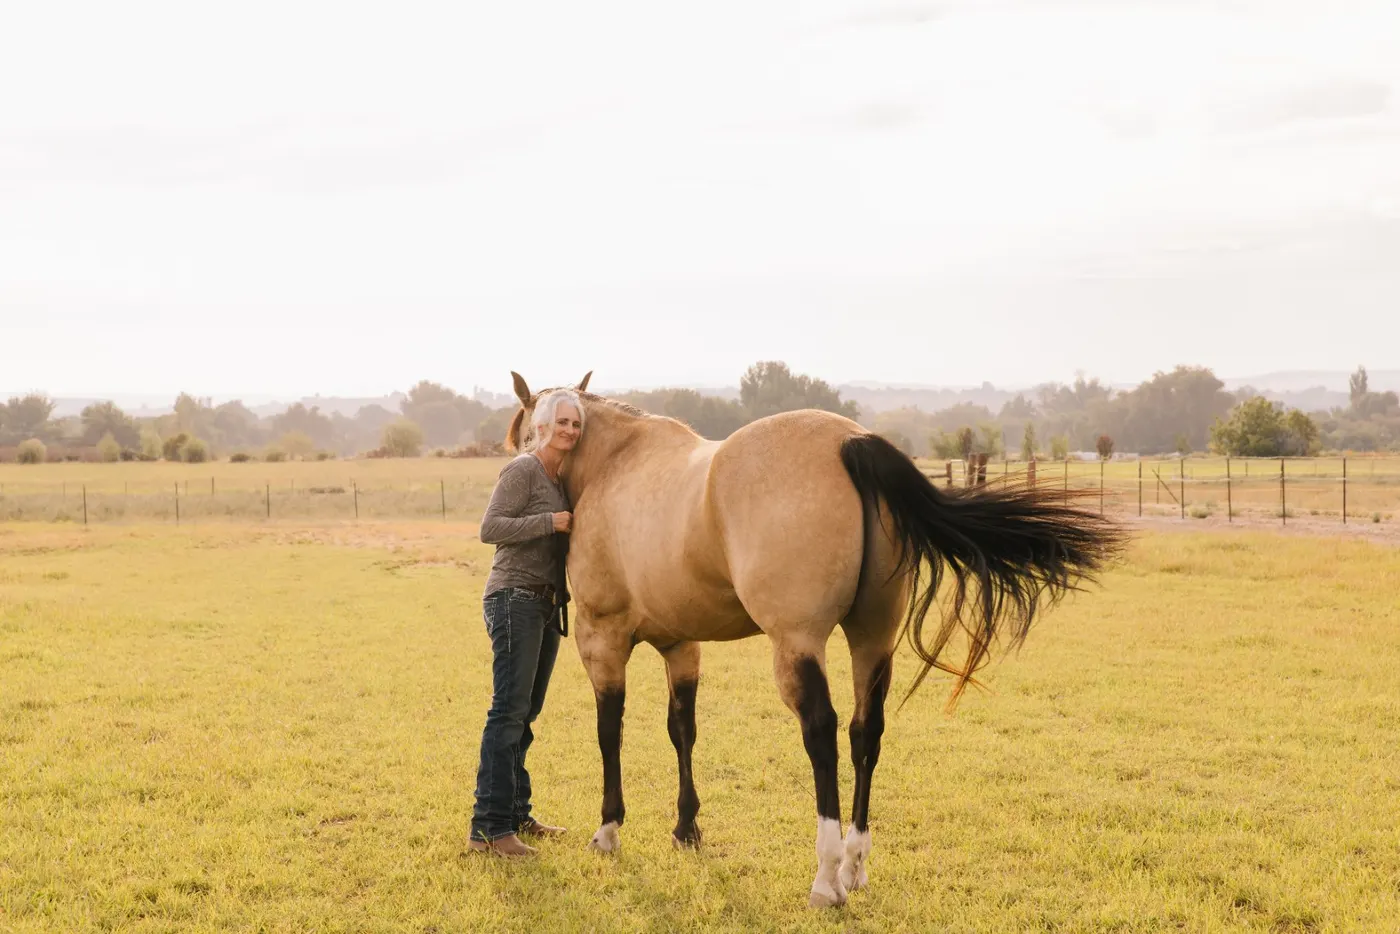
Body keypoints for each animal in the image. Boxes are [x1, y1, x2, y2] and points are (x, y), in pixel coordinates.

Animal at [503, 372, 1126, 908]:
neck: (616, 466)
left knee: (822, 733)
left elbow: (610, 731)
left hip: (797, 644)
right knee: (865, 732)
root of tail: (851, 441)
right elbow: (683, 731)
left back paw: (827, 879)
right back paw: (855, 865)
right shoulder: (682, 645)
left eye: (529, 430)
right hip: (872, 641)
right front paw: (686, 827)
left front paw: (609, 830)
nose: (523, 463)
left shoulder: (602, 637)